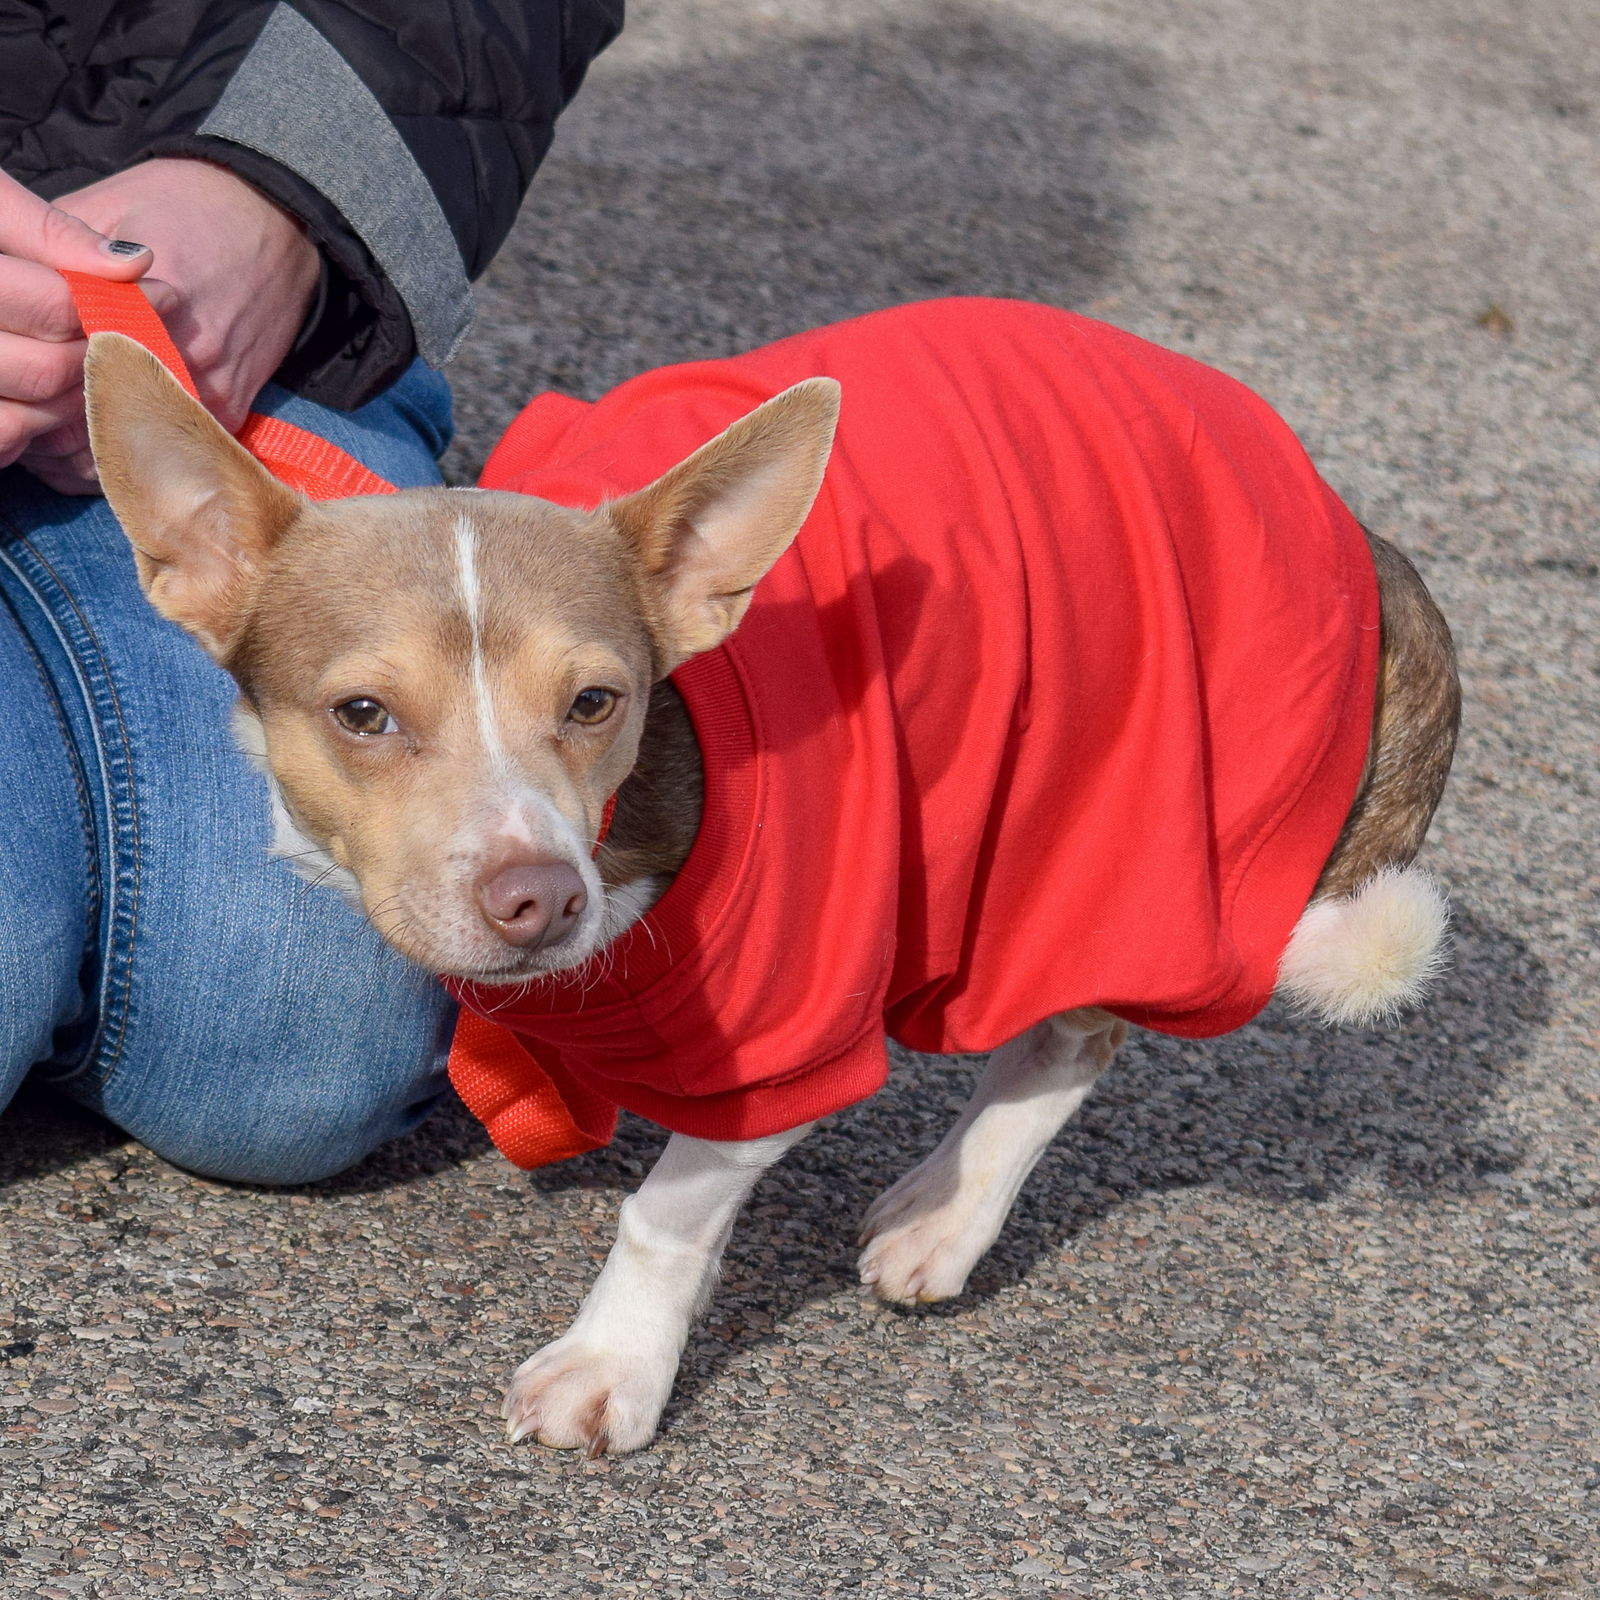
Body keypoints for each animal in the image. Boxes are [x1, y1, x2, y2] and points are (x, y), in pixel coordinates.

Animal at [84, 318, 1465, 1459]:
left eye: (597, 700)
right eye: (363, 714)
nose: (540, 898)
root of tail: (1361, 544)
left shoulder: (787, 1042)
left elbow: (665, 1213)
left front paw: (613, 1366)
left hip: (1133, 831)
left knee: (1074, 1035)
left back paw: (948, 1215)